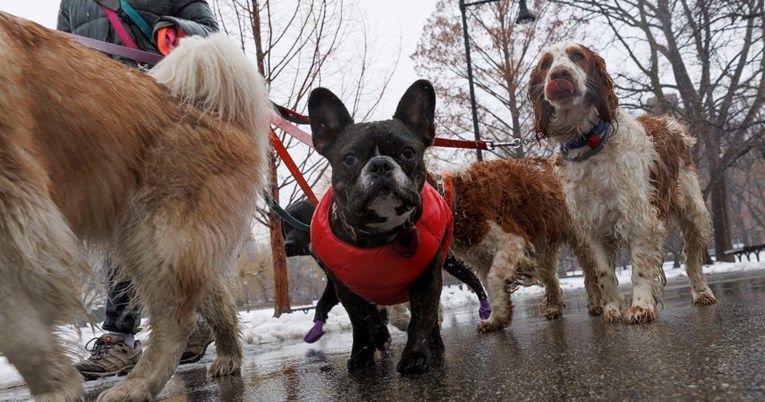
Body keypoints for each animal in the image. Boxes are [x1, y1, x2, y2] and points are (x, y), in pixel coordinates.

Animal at [0, 12, 274, 402]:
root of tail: (218, 116)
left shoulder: (19, 205)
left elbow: (19, 327)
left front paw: (56, 387)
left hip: (158, 236)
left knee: (175, 320)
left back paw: (137, 385)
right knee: (215, 299)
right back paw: (227, 356)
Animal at [430, 158, 596, 332]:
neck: (453, 199)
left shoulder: (511, 241)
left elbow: (493, 277)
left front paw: (498, 316)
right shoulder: (482, 257)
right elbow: (490, 283)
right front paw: (496, 318)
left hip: (578, 233)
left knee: (590, 268)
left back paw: (597, 303)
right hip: (544, 241)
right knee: (550, 275)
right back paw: (553, 307)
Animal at [524, 41, 716, 324]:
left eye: (577, 56)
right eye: (546, 64)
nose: (559, 74)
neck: (589, 143)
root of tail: (668, 121)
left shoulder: (639, 219)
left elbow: (640, 268)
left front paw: (640, 307)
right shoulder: (593, 227)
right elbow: (604, 274)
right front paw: (613, 308)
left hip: (694, 213)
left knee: (692, 257)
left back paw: (701, 292)